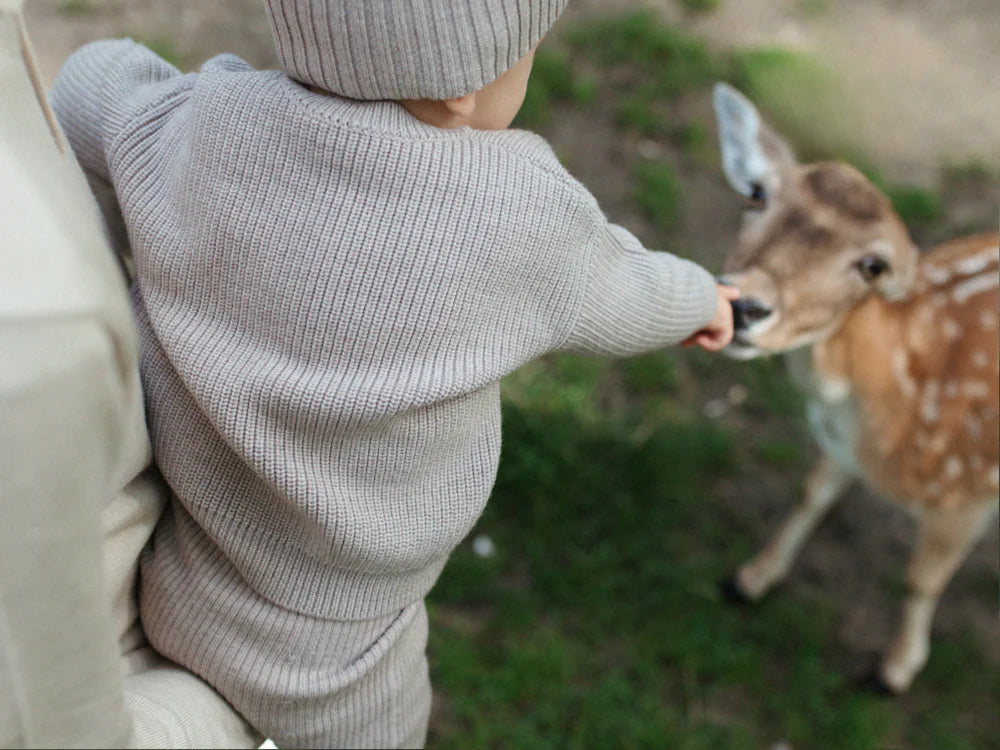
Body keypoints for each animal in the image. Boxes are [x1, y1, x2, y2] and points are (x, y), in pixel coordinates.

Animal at [712, 81, 1000, 692]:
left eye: (873, 265)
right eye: (757, 193)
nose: (746, 304)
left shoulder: (967, 489)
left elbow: (920, 579)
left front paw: (893, 672)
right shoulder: (839, 448)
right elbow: (812, 493)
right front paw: (749, 579)